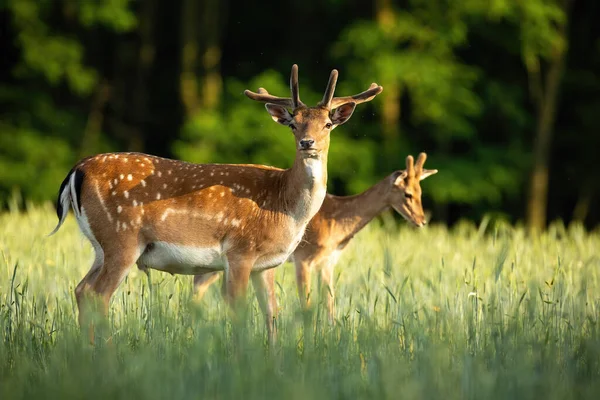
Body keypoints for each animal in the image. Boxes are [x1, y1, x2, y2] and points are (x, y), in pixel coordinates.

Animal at [49, 64, 382, 342]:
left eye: (327, 124)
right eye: (293, 124)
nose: (307, 143)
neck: (284, 207)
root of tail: (76, 171)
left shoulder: (266, 265)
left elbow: (271, 315)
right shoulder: (239, 251)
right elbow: (240, 314)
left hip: (100, 245)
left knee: (81, 289)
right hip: (122, 238)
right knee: (98, 295)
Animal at [192, 152, 436, 324]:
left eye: (421, 192)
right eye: (407, 194)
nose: (422, 221)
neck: (337, 222)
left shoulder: (328, 261)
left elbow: (330, 304)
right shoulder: (304, 257)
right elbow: (306, 303)